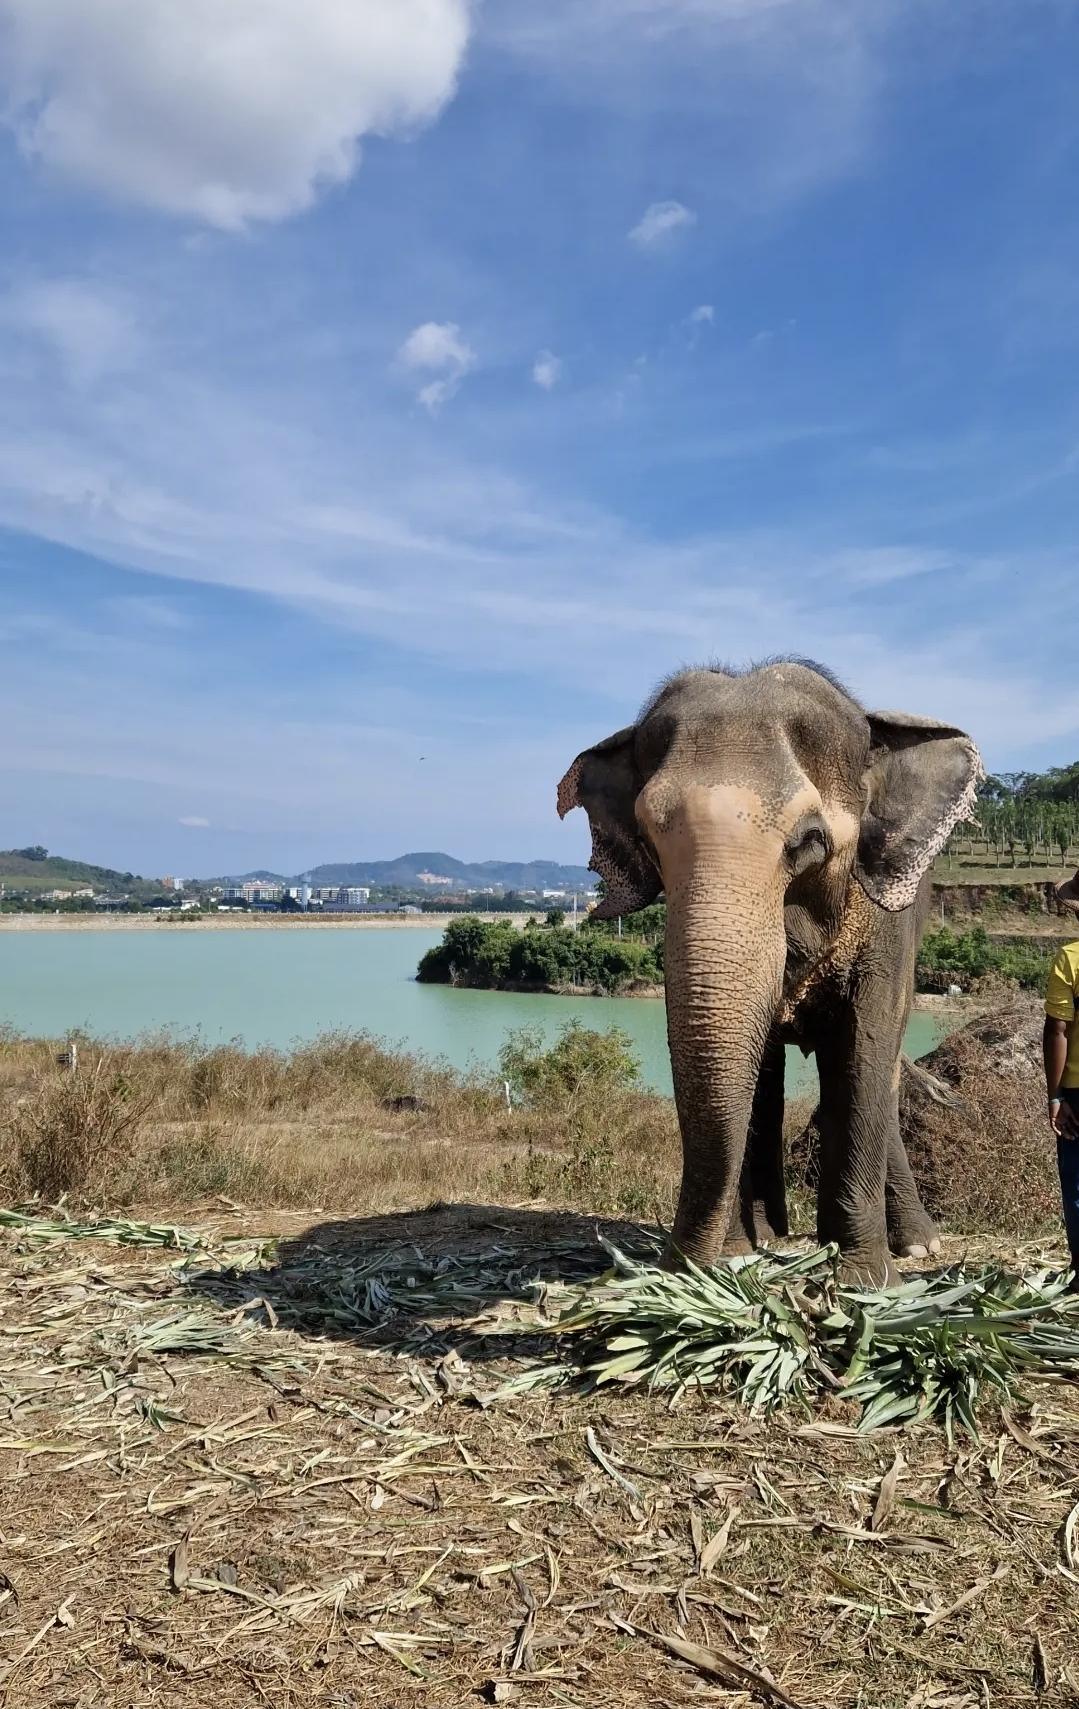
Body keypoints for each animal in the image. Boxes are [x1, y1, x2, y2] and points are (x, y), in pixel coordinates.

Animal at [558, 659, 982, 1282]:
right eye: (650, 843)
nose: (677, 1263)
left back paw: (914, 1246)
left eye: (809, 840)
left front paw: (863, 1279)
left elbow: (865, 1047)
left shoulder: (888, 926)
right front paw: (734, 1258)